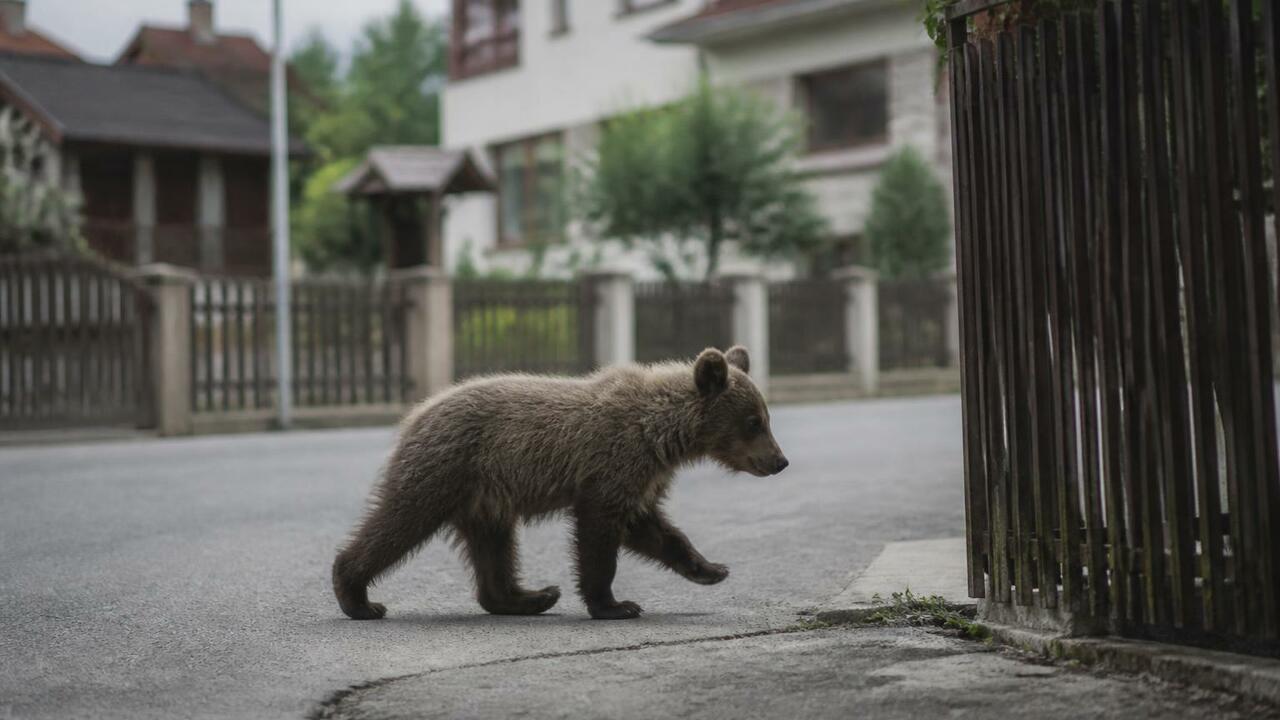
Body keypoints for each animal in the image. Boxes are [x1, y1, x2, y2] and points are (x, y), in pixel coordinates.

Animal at [331, 345, 789, 621]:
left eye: (766, 418)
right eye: (754, 422)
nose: (780, 461)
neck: (661, 436)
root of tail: (416, 414)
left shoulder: (639, 478)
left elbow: (654, 530)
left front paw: (709, 568)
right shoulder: (610, 464)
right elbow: (599, 536)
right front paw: (615, 604)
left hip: (485, 497)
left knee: (493, 546)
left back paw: (529, 596)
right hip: (446, 469)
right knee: (399, 521)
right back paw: (358, 596)